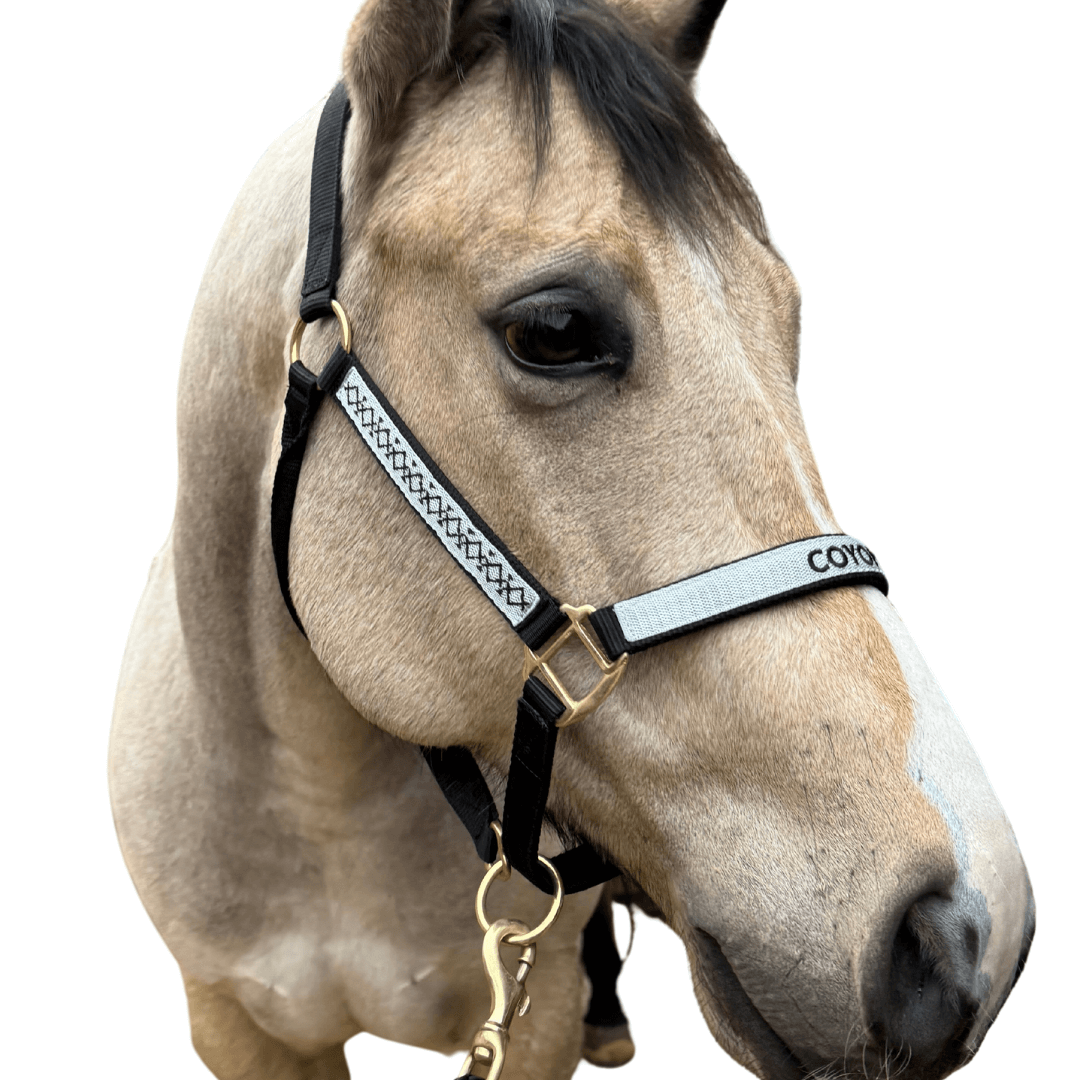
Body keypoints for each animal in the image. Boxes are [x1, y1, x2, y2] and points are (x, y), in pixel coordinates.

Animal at [108, 0, 1035, 1077]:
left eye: (788, 319)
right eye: (553, 330)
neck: (319, 817)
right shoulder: (236, 1021)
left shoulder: (534, 1005)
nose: (961, 925)